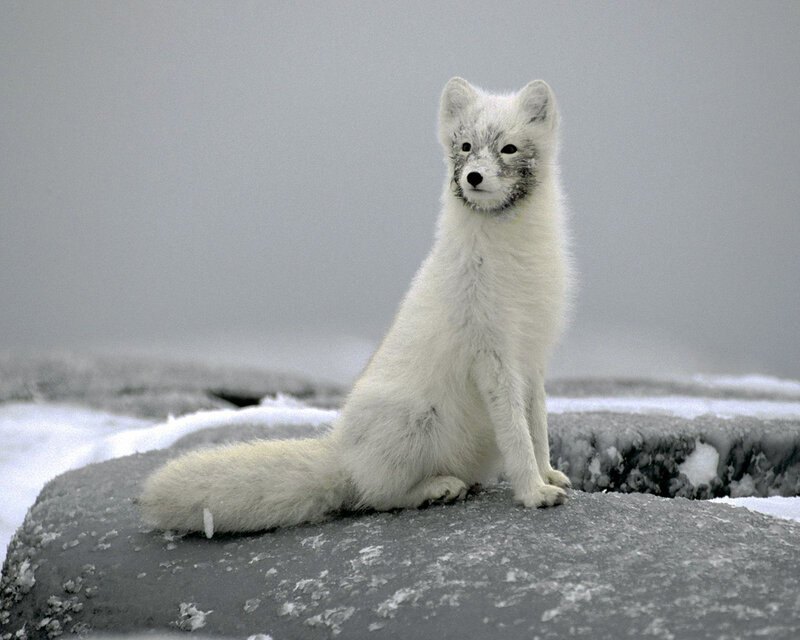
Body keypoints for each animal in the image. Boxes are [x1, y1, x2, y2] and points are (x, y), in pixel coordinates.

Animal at [139, 77, 573, 534]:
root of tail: (341, 453)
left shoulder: (532, 355)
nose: (473, 177)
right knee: (376, 496)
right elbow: (516, 434)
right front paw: (534, 492)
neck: (512, 256)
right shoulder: (492, 355)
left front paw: (548, 474)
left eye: (508, 148)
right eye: (466, 146)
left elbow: (537, 426)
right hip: (414, 422)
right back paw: (436, 488)